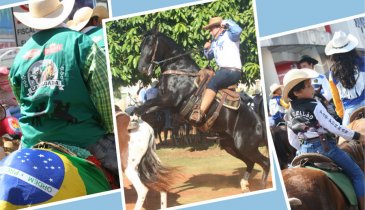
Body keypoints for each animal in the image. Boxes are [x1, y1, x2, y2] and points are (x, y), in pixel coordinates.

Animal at [132, 28, 268, 191]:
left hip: (246, 146)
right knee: (251, 162)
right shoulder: (165, 103)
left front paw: (133, 119)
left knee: (265, 162)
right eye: (141, 45)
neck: (179, 70)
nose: (141, 68)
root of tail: (259, 121)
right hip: (231, 145)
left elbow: (143, 107)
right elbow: (146, 108)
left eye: (151, 44)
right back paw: (244, 184)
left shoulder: (170, 100)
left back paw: (262, 185)